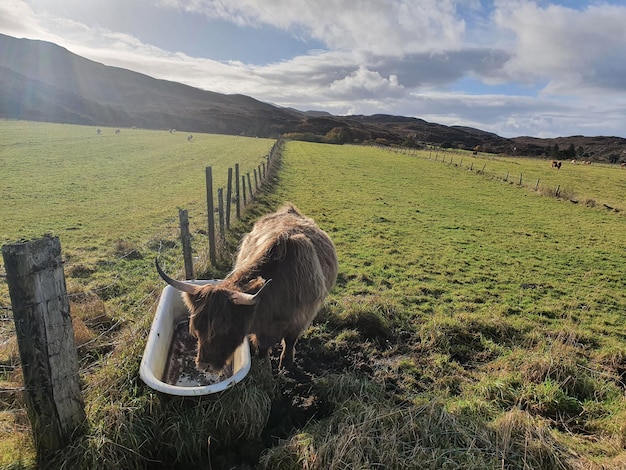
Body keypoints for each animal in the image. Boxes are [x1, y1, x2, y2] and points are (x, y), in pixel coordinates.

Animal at [158, 202, 338, 370]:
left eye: (223, 328)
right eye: (196, 328)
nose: (204, 365)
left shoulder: (300, 320)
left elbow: (290, 342)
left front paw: (286, 364)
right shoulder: (262, 330)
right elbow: (263, 347)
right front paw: (265, 365)